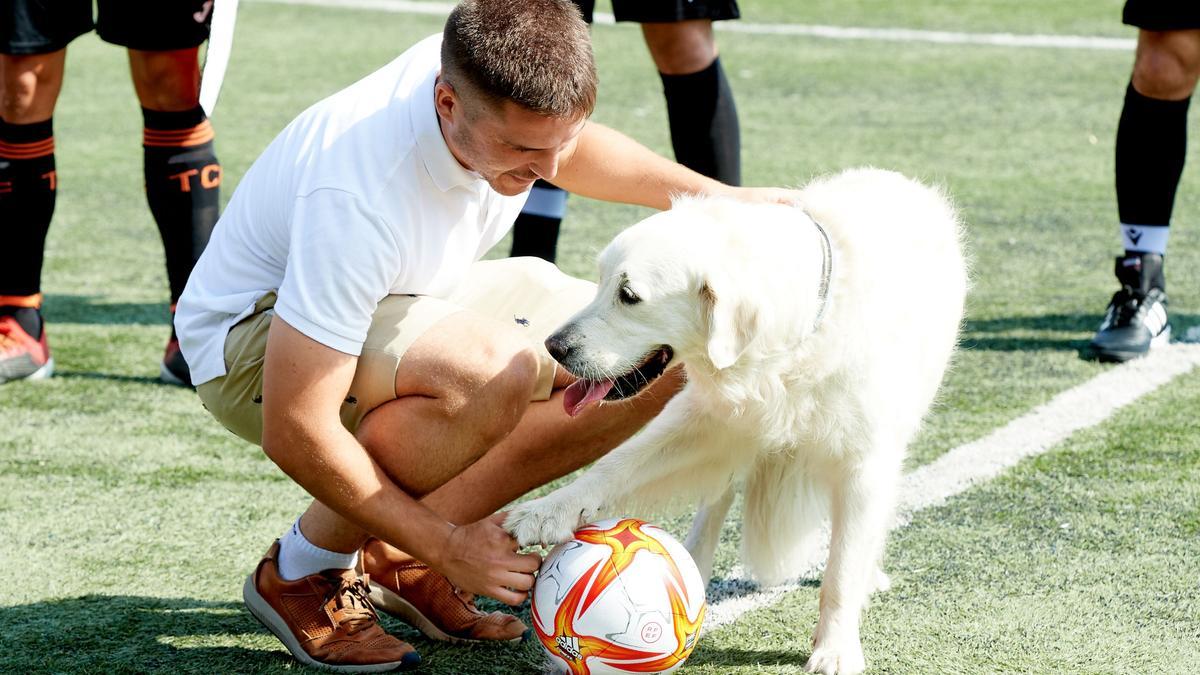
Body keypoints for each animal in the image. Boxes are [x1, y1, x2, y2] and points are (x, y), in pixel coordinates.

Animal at [504, 165, 964, 667]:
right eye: (600, 280)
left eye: (628, 295)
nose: (553, 347)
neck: (790, 351)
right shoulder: (707, 420)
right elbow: (617, 465)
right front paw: (548, 510)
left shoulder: (864, 462)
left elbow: (842, 571)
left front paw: (836, 650)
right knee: (713, 505)